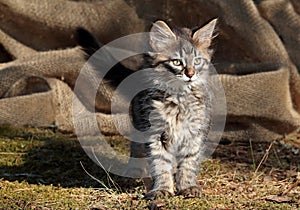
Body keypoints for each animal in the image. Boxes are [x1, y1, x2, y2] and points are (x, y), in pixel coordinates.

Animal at [130, 18, 217, 199]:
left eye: (197, 61)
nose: (190, 74)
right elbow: (160, 164)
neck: (179, 98)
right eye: (177, 62)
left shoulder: (195, 132)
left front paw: (188, 187)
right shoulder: (154, 133)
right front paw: (162, 189)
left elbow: (189, 163)